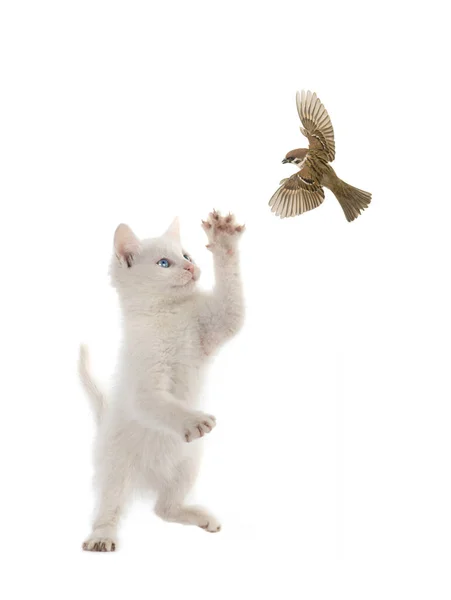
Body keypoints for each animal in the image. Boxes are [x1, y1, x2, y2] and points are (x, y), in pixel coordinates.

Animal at [79, 211, 245, 552]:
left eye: (187, 256)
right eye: (164, 263)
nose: (192, 268)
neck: (169, 315)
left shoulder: (217, 324)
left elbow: (232, 301)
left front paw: (223, 237)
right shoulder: (143, 388)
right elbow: (162, 405)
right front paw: (193, 421)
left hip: (189, 463)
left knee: (164, 509)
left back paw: (200, 517)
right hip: (117, 469)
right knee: (109, 506)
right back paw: (101, 537)